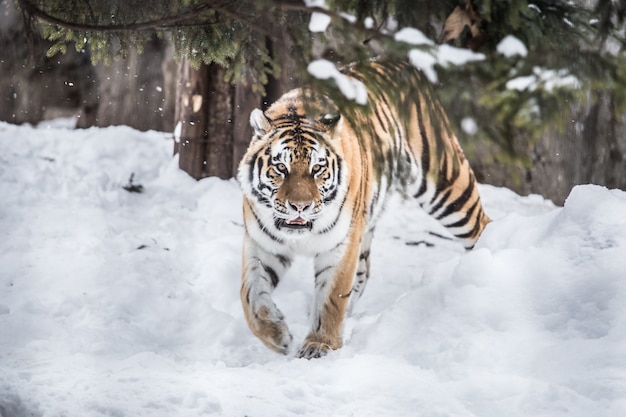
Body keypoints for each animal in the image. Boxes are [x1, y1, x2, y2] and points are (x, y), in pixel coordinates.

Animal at [234, 57, 488, 360]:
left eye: (317, 168)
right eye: (281, 167)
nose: (300, 206)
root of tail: (400, 61)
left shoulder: (341, 245)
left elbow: (332, 297)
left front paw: (319, 345)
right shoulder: (262, 246)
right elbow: (250, 295)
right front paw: (277, 335)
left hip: (447, 182)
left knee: (480, 223)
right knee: (364, 273)